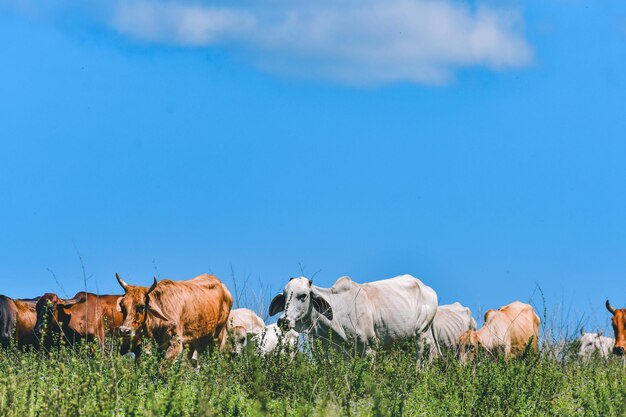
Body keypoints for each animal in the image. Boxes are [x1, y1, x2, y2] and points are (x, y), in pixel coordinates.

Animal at [266, 272, 434, 354]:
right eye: (285, 295)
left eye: (303, 295)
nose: (283, 321)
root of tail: (424, 286)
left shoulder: (369, 349)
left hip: (421, 335)